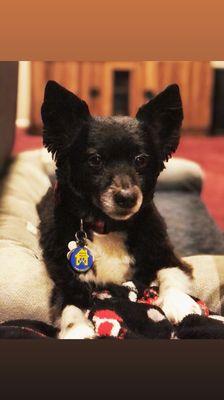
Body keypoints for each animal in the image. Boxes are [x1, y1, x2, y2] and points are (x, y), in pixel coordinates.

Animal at [38, 80, 201, 338]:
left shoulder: (166, 253)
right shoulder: (64, 277)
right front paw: (77, 330)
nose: (126, 198)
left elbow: (171, 272)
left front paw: (179, 302)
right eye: (95, 160)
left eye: (141, 160)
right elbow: (69, 304)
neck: (108, 226)